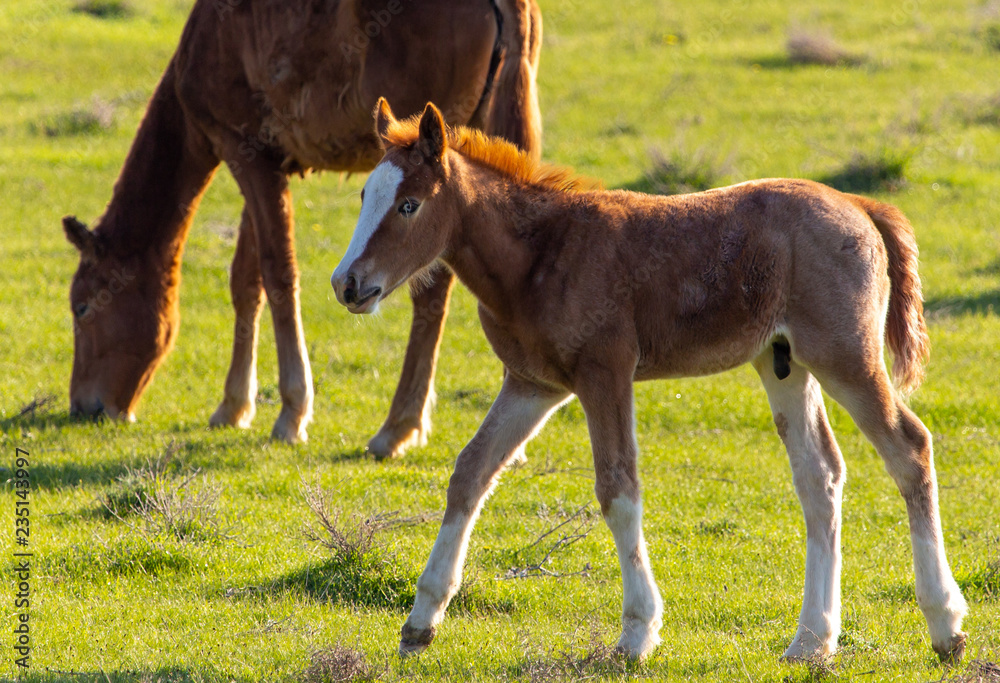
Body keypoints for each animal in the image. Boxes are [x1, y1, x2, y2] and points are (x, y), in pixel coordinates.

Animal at [62, 0, 542, 454]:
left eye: (81, 309)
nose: (83, 407)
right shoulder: (269, 161)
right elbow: (246, 281)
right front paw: (233, 405)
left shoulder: (247, 154)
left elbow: (278, 274)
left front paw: (292, 410)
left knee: (430, 293)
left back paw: (397, 426)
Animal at [329, 99, 969, 662]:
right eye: (363, 195)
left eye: (409, 205)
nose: (346, 283)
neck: (540, 255)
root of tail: (860, 205)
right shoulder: (532, 385)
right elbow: (469, 474)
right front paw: (420, 620)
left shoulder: (604, 373)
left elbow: (618, 489)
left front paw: (637, 631)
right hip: (783, 364)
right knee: (820, 478)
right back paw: (812, 641)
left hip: (845, 358)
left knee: (909, 448)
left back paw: (945, 625)